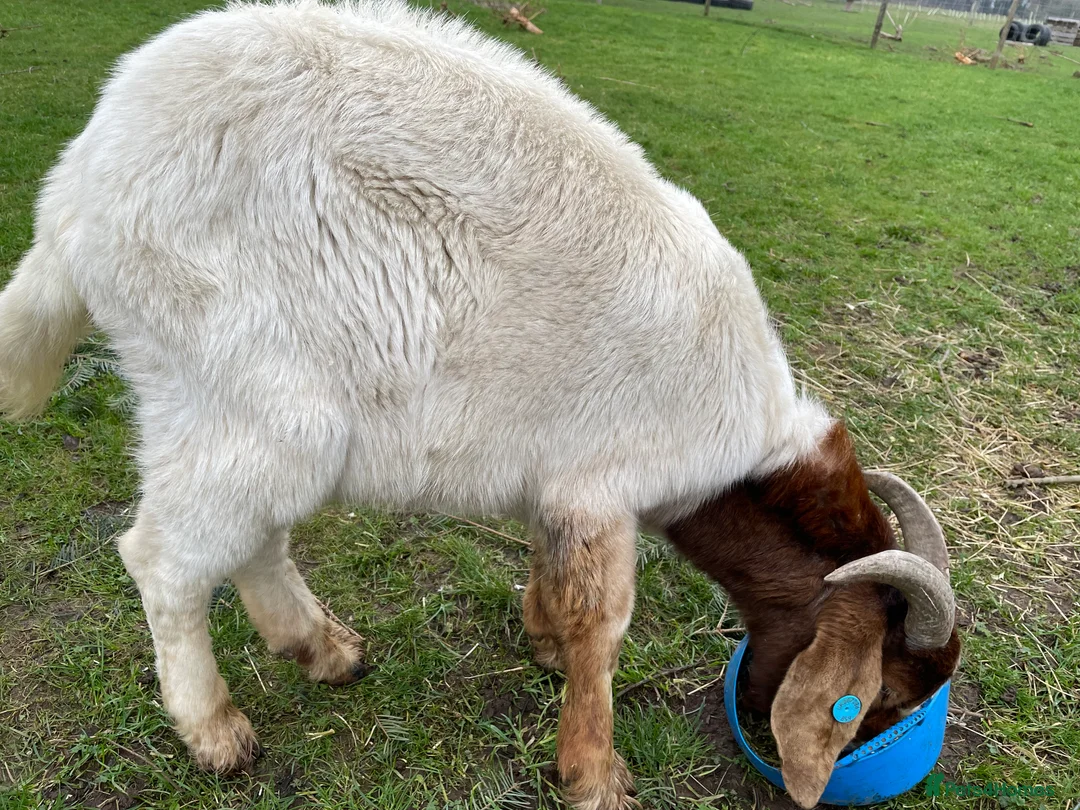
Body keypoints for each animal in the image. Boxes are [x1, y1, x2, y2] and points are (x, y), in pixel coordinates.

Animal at [0, 2, 959, 808]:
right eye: (878, 699)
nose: (870, 752)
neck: (739, 436)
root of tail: (77, 182)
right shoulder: (603, 483)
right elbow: (604, 624)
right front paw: (595, 773)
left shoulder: (558, 483)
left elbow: (553, 575)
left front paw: (540, 641)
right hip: (241, 391)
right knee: (164, 559)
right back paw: (213, 729)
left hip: (243, 417)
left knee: (253, 538)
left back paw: (322, 649)